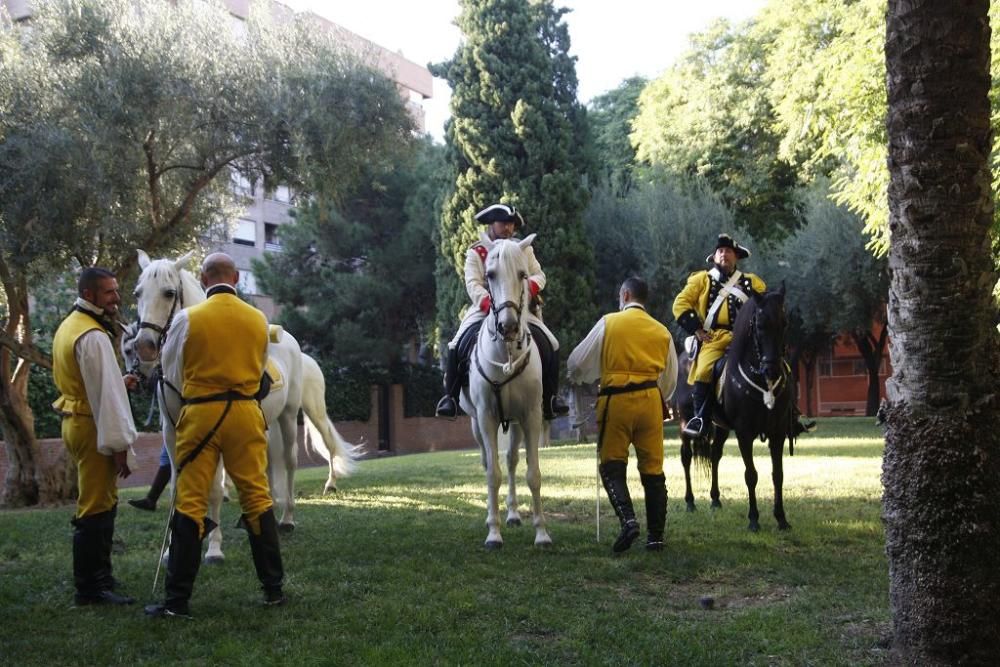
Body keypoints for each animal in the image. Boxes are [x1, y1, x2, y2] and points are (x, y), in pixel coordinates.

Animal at [460, 232, 556, 552]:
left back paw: (513, 514)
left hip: (514, 422)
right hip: (476, 423)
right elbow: (493, 473)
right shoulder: (487, 417)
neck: (506, 354)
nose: (509, 326)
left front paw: (542, 533)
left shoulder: (531, 415)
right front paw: (493, 533)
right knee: (490, 461)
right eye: (490, 274)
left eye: (523, 274)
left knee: (512, 461)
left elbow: (533, 474)